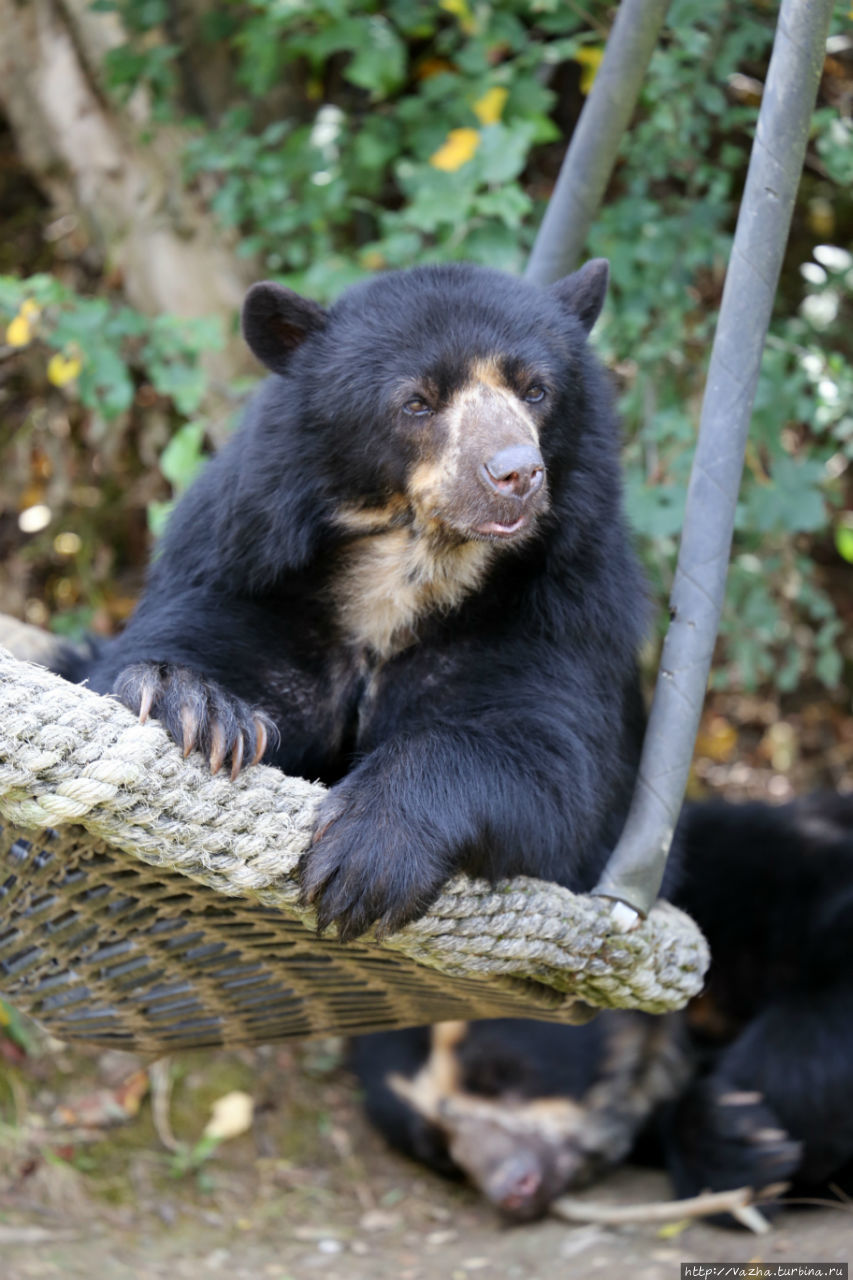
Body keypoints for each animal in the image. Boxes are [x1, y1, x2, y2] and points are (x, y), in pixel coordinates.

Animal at [84, 259, 645, 942]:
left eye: (536, 391)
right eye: (416, 402)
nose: (516, 474)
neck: (412, 567)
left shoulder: (560, 614)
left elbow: (552, 771)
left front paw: (364, 858)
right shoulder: (245, 575)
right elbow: (170, 656)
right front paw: (197, 711)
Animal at [348, 793, 850, 1223]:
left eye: (499, 1073)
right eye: (438, 1152)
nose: (512, 1187)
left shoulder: (750, 876)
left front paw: (752, 1126)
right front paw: (735, 1145)